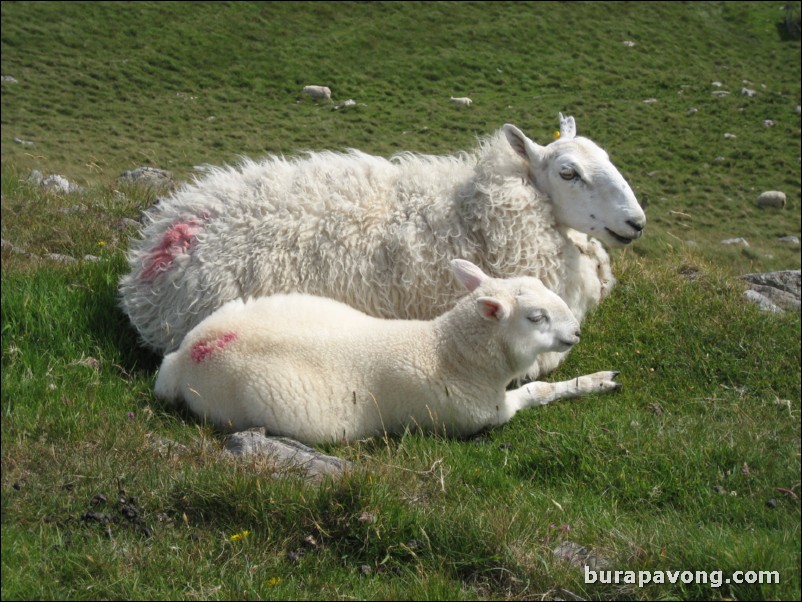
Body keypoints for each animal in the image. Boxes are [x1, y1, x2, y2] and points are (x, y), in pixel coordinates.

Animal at [156, 256, 620, 440]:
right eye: (536, 317)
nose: (577, 332)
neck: (448, 352)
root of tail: (184, 357)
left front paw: (597, 379)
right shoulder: (483, 415)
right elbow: (536, 392)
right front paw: (591, 382)